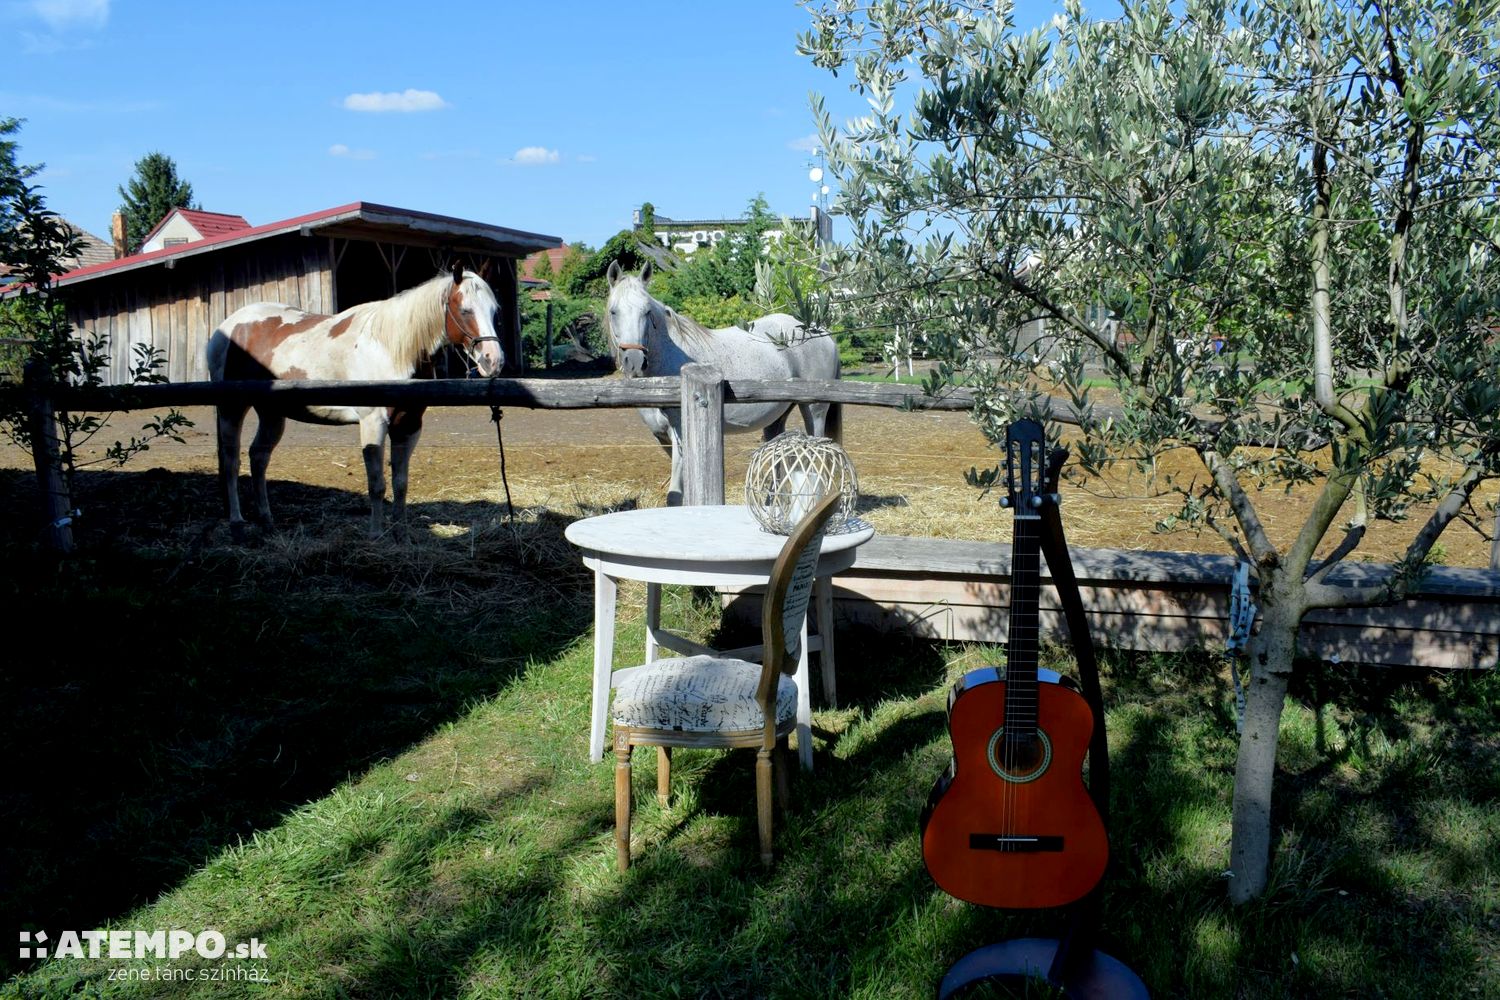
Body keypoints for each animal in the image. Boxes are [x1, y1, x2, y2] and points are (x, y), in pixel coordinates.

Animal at [208, 262, 507, 536]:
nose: (493, 361)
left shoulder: (409, 426)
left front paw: (401, 533)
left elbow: (400, 483)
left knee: (258, 458)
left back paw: (266, 520)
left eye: (494, 311)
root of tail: (226, 327)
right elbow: (377, 484)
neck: (391, 349)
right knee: (232, 462)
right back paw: (237, 521)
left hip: (271, 413)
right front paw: (375, 535)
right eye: (465, 310)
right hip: (232, 408)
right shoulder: (373, 423)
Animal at [609, 262, 846, 503]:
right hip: (778, 415)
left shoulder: (681, 433)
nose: (635, 360)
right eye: (613, 311)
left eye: (647, 312)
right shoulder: (662, 436)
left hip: (814, 410)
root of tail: (821, 332)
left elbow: (675, 496)